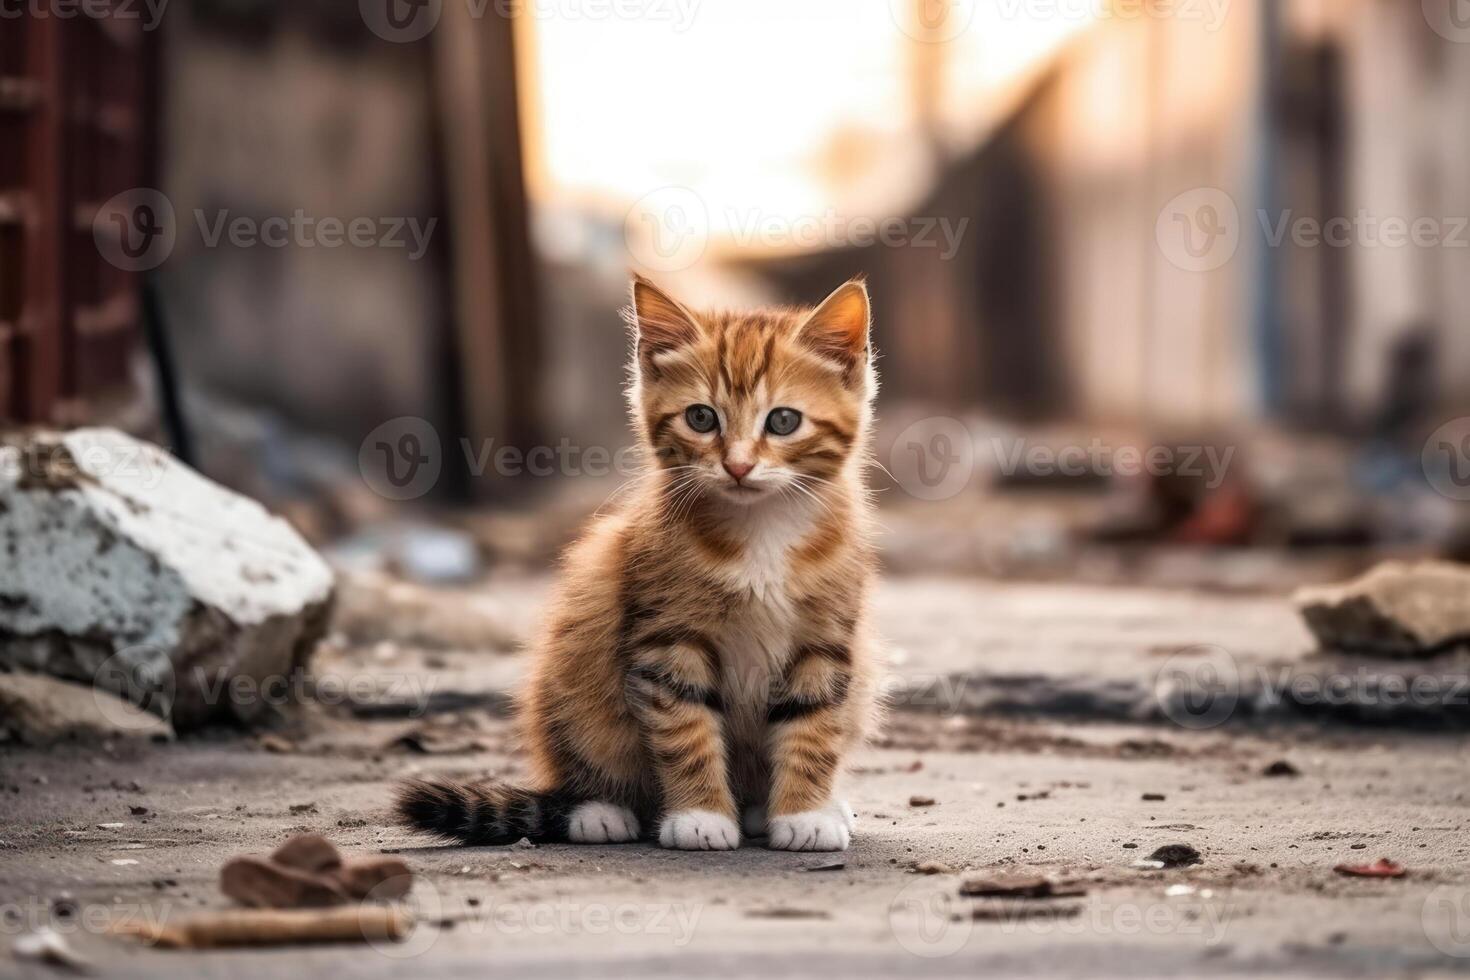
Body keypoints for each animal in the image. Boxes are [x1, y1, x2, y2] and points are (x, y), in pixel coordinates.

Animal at [396, 274, 876, 852]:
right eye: (701, 417)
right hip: (572, 672)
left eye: (783, 421)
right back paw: (602, 811)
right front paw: (700, 815)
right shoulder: (667, 640)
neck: (760, 528)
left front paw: (804, 813)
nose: (737, 466)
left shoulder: (825, 641)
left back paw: (779, 807)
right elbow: (684, 727)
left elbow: (814, 725)